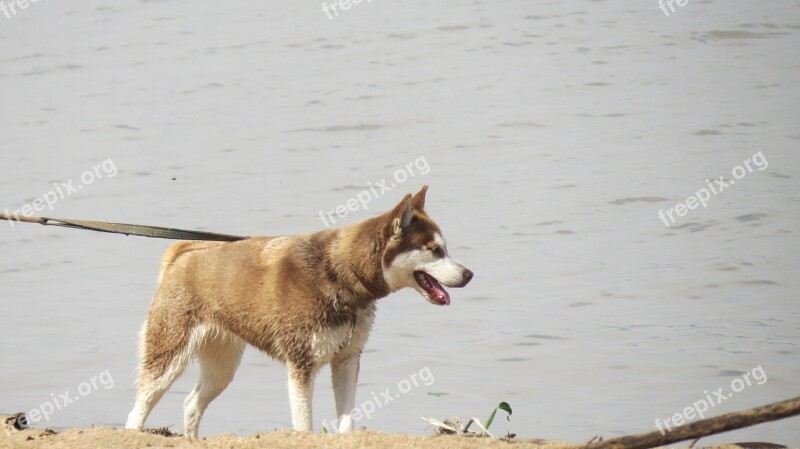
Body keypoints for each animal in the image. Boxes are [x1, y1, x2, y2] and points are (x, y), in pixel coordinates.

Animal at [124, 186, 472, 438]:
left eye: (445, 248)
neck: (339, 274)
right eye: (434, 250)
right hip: (167, 358)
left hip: (222, 367)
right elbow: (304, 424)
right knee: (137, 410)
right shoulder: (302, 364)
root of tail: (183, 252)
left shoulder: (347, 360)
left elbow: (347, 420)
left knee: (191, 404)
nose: (469, 274)